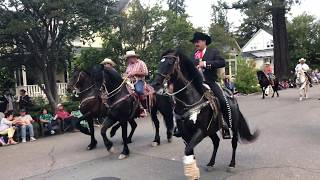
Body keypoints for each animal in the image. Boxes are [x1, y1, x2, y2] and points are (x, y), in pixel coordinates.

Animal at [152, 48, 260, 179]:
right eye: (159, 63)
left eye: (170, 63)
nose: (155, 84)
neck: (189, 100)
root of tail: (231, 96)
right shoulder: (186, 133)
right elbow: (189, 151)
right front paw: (193, 173)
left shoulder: (200, 131)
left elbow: (188, 150)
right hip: (211, 130)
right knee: (216, 142)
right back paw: (211, 163)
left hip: (232, 126)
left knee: (234, 142)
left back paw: (231, 164)